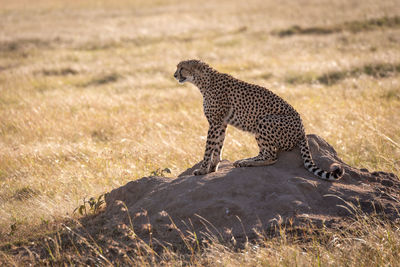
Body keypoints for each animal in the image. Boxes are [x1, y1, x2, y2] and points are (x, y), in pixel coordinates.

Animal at [173, 60, 346, 182]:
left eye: (181, 68)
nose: (174, 75)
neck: (203, 81)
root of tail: (303, 131)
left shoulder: (215, 123)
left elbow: (209, 148)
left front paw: (202, 170)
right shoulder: (221, 123)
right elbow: (217, 147)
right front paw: (212, 169)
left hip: (264, 121)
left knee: (272, 156)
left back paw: (248, 163)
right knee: (264, 152)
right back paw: (245, 160)